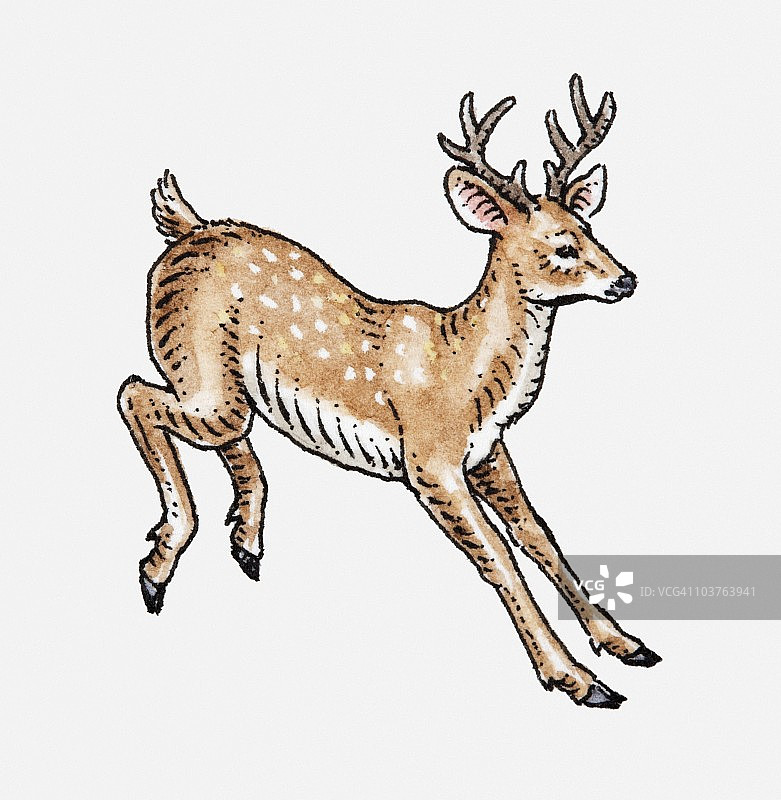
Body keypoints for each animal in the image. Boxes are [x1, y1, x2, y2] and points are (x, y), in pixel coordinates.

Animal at [118, 74, 661, 708]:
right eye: (561, 246)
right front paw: (577, 680)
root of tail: (188, 226)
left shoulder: (488, 453)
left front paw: (627, 644)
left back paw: (246, 544)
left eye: (589, 229)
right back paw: (157, 570)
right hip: (199, 369)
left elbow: (539, 536)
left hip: (224, 387)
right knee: (135, 393)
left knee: (218, 431)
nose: (626, 278)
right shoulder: (428, 460)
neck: (463, 374)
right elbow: (498, 558)